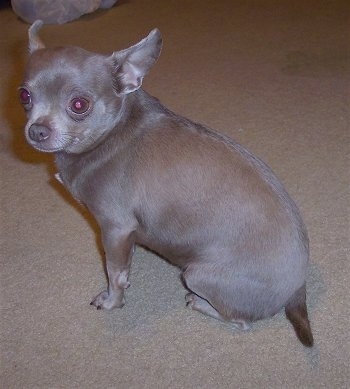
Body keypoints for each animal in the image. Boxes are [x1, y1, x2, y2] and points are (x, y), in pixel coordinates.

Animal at [19, 20, 314, 346]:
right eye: (24, 96)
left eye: (79, 104)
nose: (37, 131)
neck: (110, 133)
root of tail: (298, 288)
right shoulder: (127, 235)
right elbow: (125, 266)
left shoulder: (114, 228)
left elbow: (114, 272)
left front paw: (111, 301)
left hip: (196, 274)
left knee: (241, 321)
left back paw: (199, 303)